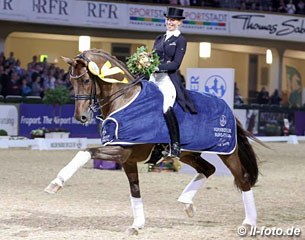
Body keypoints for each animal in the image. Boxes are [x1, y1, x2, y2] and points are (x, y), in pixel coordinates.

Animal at [45, 48, 262, 234]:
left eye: (85, 80)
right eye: (71, 81)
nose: (80, 117)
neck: (125, 99)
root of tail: (226, 106)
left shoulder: (121, 150)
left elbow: (85, 152)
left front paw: (55, 183)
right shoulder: (128, 159)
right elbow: (135, 190)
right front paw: (137, 225)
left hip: (227, 152)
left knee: (242, 180)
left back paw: (248, 223)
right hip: (188, 154)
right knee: (208, 169)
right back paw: (187, 204)